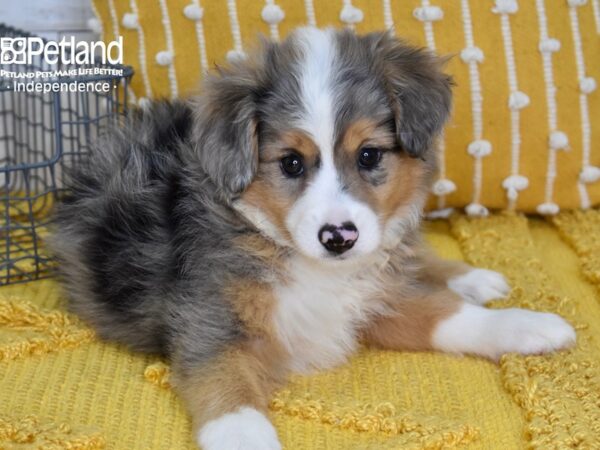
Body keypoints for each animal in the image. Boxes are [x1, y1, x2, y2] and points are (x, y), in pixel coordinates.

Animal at [52, 29, 576, 450]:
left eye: (369, 155)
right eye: (290, 163)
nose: (339, 238)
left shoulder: (374, 297)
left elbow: (446, 314)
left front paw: (526, 325)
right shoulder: (208, 321)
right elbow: (228, 388)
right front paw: (247, 438)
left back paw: (474, 278)